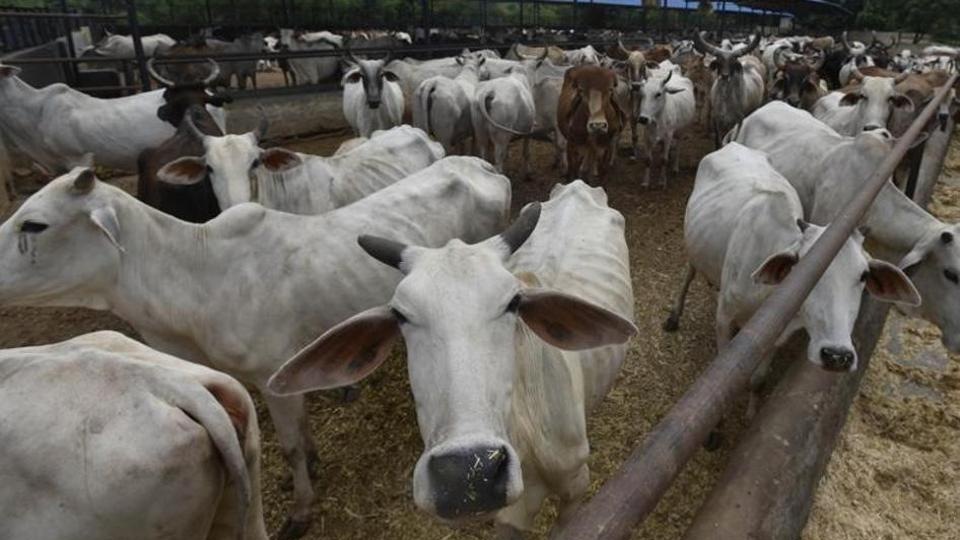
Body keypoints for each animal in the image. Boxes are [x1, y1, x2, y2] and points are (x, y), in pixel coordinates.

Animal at [268, 180, 636, 535]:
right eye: (400, 315)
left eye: (514, 301)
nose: (463, 475)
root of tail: (577, 186)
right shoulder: (509, 517)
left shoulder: (576, 486)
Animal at [667, 142, 918, 418]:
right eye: (803, 272)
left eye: (863, 275)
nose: (837, 356)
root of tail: (733, 144)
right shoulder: (724, 318)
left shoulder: (776, 336)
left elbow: (758, 380)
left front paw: (751, 414)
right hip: (693, 247)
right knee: (689, 274)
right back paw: (674, 315)